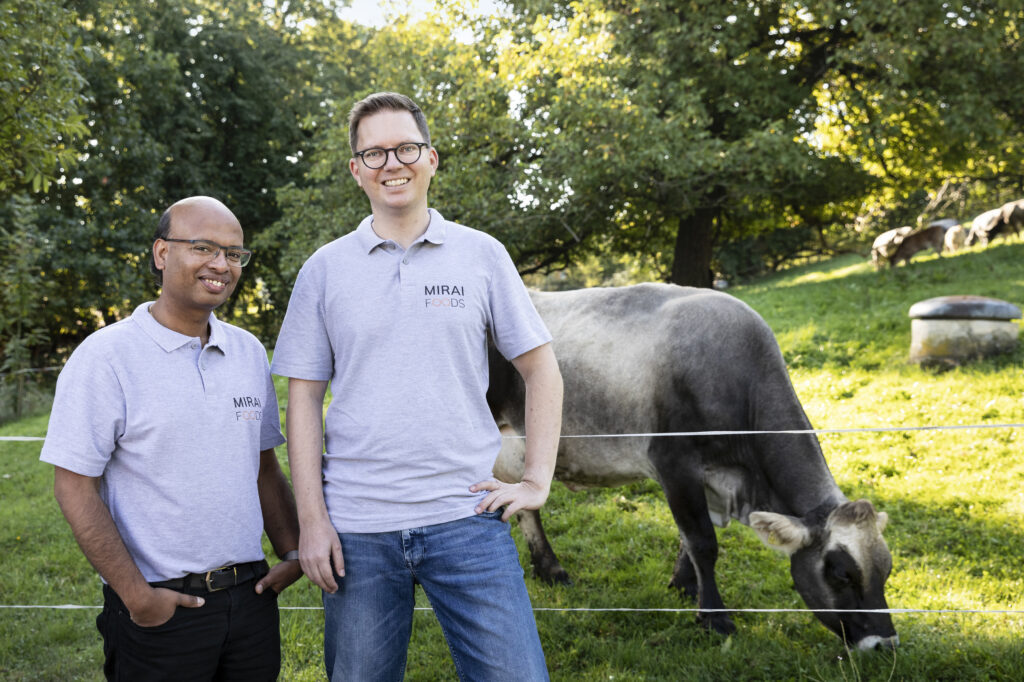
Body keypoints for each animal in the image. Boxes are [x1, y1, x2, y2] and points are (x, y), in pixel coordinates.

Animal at [487, 280, 897, 647]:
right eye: (841, 573)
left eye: (887, 569)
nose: (885, 643)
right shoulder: (674, 462)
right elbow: (703, 541)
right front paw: (714, 618)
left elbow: (689, 538)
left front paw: (684, 584)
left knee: (523, 503)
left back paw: (548, 569)